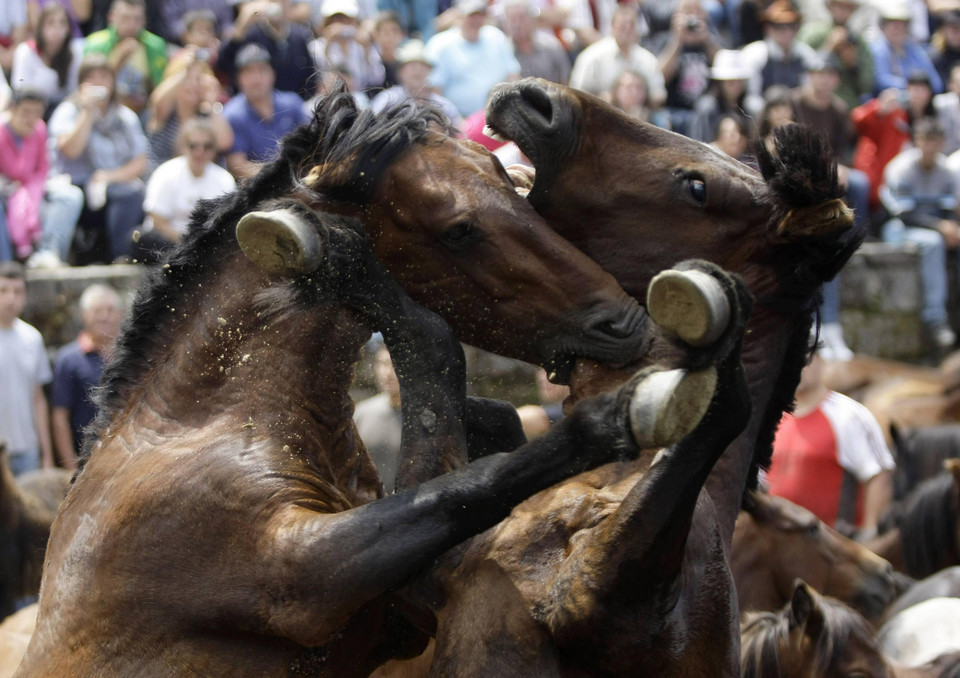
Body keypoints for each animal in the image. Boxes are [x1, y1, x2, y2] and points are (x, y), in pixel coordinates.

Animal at [16, 95, 660, 678]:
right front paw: (617, 415)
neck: (206, 423)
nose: (626, 323)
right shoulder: (307, 578)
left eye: (503, 174)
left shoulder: (401, 612)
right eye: (458, 230)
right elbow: (463, 478)